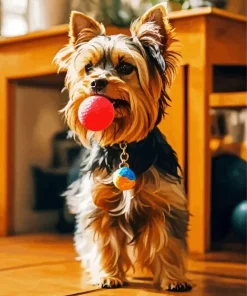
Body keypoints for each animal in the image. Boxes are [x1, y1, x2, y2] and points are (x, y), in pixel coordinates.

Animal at [55, 2, 192, 292]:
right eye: (89, 68)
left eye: (126, 67)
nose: (96, 82)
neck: (124, 146)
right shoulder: (99, 205)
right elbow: (105, 242)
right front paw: (109, 275)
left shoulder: (166, 203)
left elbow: (169, 243)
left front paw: (174, 279)